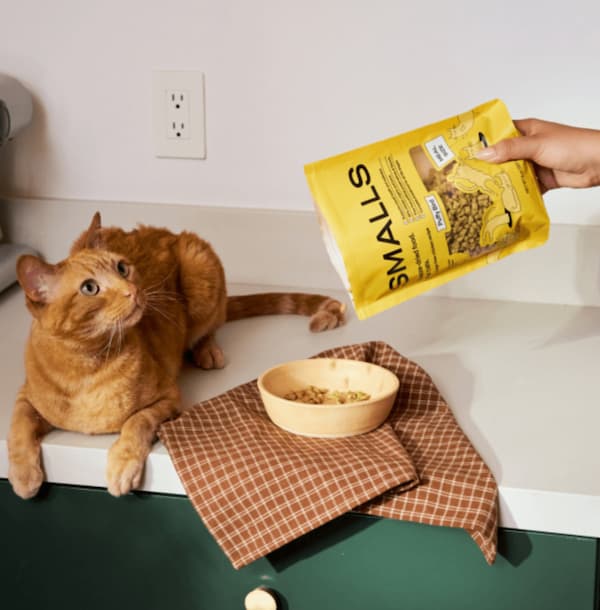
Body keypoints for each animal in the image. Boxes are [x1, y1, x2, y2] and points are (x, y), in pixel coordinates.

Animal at [7, 211, 344, 496]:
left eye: (122, 268)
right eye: (90, 288)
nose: (133, 291)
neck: (88, 366)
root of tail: (164, 232)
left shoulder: (167, 399)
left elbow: (136, 422)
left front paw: (122, 466)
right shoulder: (25, 396)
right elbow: (18, 427)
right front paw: (23, 476)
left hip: (200, 271)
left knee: (210, 327)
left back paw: (207, 350)